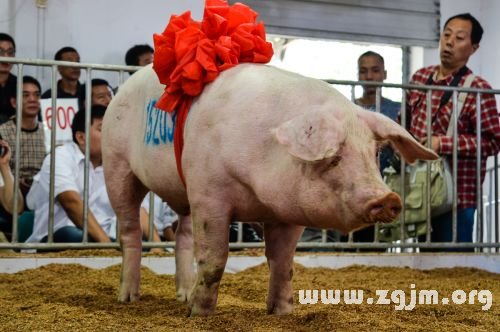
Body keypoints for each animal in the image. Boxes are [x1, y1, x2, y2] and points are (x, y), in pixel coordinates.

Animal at [102, 63, 438, 316]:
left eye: (375, 152)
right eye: (333, 157)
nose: (388, 198)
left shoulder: (287, 213)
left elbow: (283, 263)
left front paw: (282, 312)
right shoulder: (208, 193)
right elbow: (214, 258)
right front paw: (199, 314)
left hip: (183, 190)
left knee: (183, 237)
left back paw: (183, 295)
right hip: (116, 165)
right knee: (130, 231)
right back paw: (128, 297)